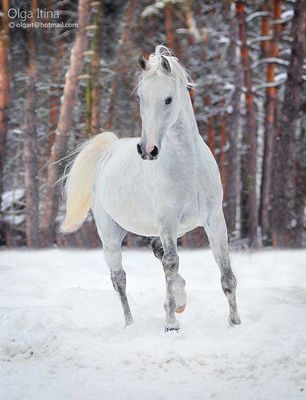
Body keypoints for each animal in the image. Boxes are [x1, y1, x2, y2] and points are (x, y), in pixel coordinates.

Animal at [61, 44, 240, 332]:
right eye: (140, 97)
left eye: (168, 99)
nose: (147, 150)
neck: (188, 168)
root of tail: (108, 150)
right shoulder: (167, 222)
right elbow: (170, 263)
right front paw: (171, 324)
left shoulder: (214, 219)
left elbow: (225, 273)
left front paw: (235, 322)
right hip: (110, 235)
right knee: (119, 278)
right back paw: (131, 324)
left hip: (166, 228)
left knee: (156, 251)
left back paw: (181, 298)